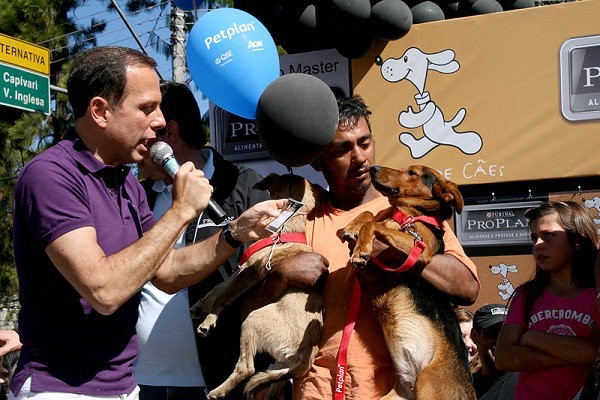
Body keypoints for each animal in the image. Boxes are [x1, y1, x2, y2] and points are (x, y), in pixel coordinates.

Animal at [344, 165, 476, 400]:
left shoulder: (419, 250)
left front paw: (362, 247)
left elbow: (375, 225)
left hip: (427, 382)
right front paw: (354, 225)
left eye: (412, 173)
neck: (408, 216)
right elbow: (371, 215)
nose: (373, 167)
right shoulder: (372, 277)